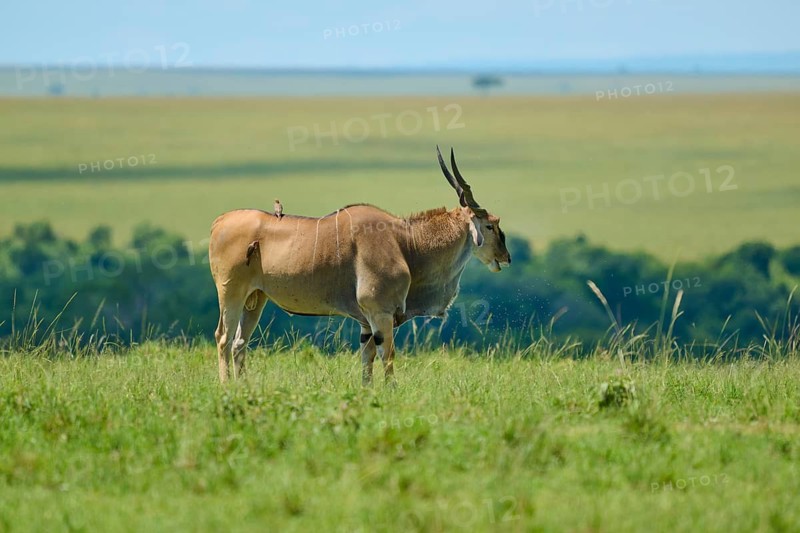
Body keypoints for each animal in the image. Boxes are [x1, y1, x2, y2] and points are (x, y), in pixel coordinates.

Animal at [208, 146, 511, 384]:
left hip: (255, 299)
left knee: (239, 342)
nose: (506, 257)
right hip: (231, 293)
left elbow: (368, 358)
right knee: (223, 337)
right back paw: (225, 387)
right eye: (490, 225)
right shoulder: (381, 313)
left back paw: (243, 387)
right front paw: (391, 391)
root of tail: (219, 221)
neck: (405, 243)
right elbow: (387, 355)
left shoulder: (367, 322)